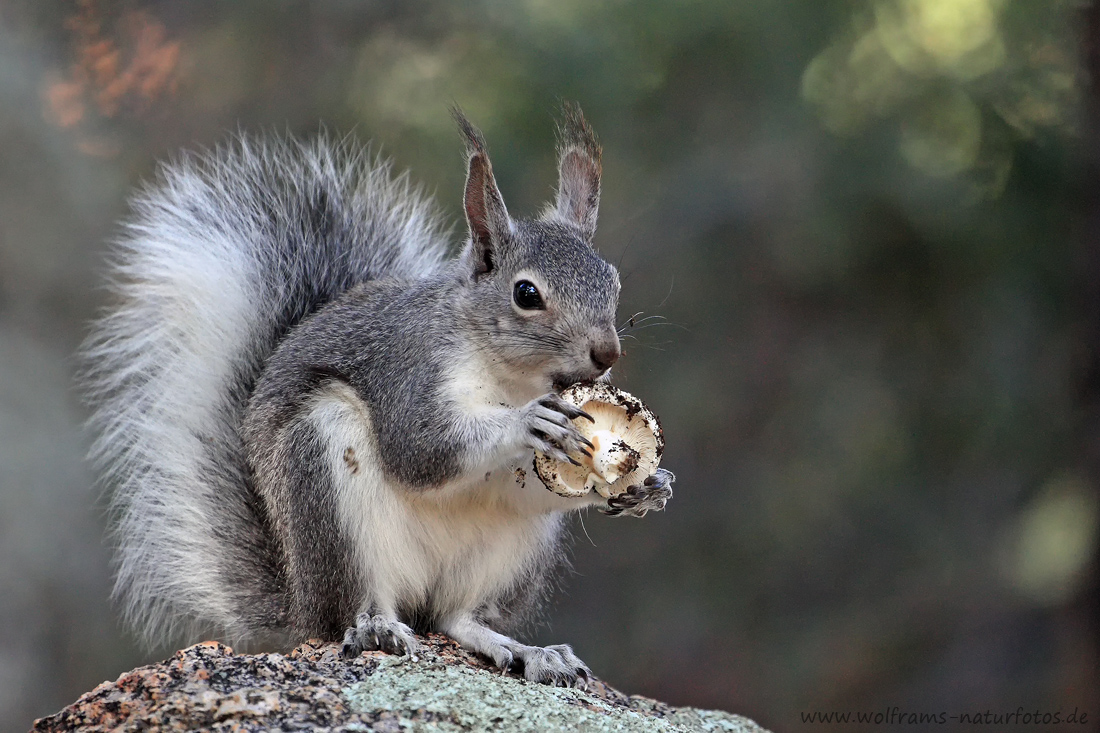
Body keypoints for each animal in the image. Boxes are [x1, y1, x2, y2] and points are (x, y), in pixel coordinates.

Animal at [81, 104, 673, 686]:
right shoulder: (406, 372)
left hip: (505, 558)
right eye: (526, 294)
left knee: (455, 617)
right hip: (327, 482)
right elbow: (420, 449)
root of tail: (302, 600)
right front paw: (526, 424)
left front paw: (646, 487)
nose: (607, 352)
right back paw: (377, 630)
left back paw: (526, 651)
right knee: (361, 606)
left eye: (613, 281)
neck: (511, 378)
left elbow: (532, 487)